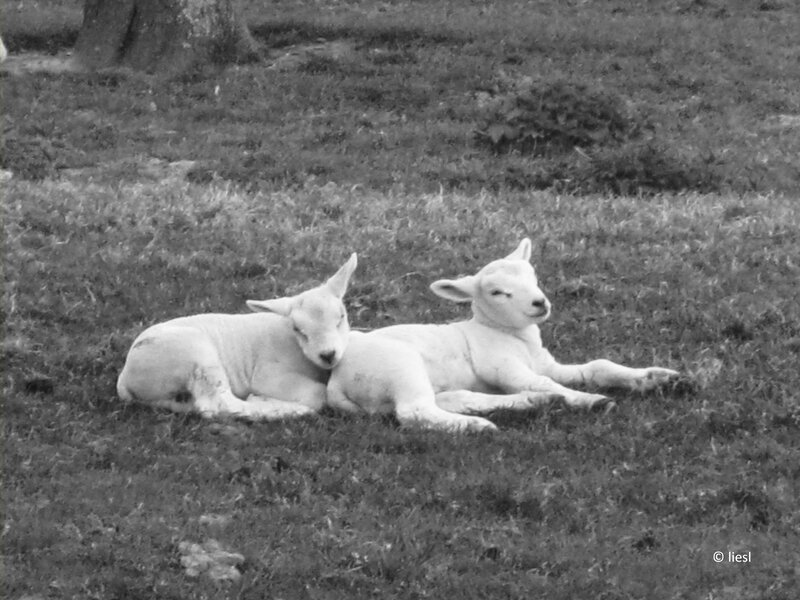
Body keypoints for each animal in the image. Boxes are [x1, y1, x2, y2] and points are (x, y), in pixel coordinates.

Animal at [117, 253, 357, 420]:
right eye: (298, 329)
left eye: (341, 317)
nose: (328, 354)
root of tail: (125, 379)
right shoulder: (269, 374)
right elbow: (318, 394)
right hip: (194, 356)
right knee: (220, 405)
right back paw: (286, 410)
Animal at [327, 239, 679, 431]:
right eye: (497, 292)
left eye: (533, 275)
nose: (540, 303)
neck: (511, 335)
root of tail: (335, 382)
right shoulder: (500, 365)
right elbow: (542, 381)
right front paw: (590, 400)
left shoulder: (546, 363)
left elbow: (595, 367)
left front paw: (654, 377)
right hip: (400, 365)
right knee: (416, 412)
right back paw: (477, 426)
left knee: (455, 398)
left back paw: (532, 403)